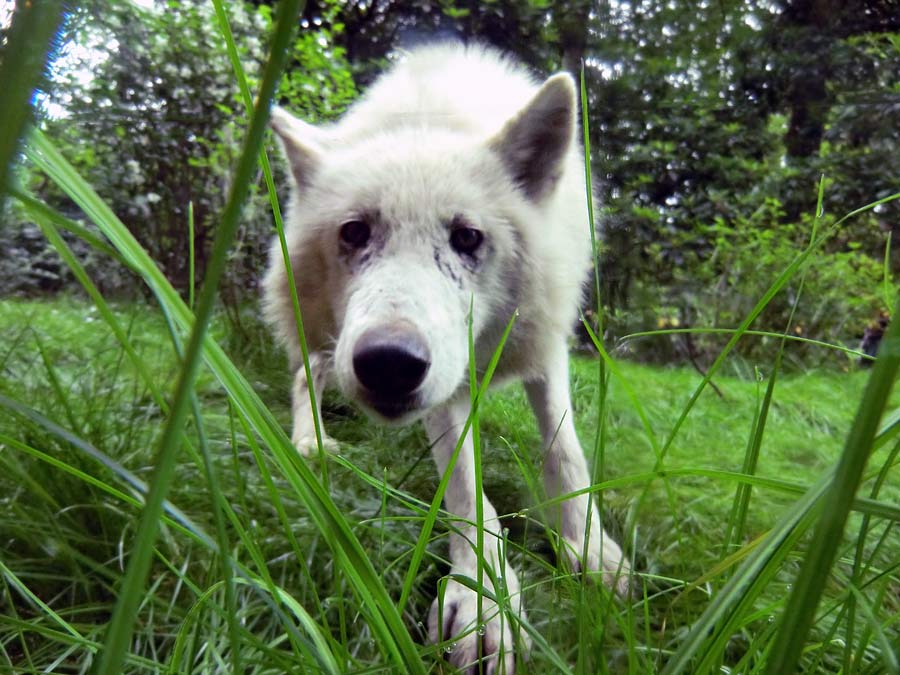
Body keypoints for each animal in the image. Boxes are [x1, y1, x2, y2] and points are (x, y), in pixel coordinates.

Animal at [262, 43, 624, 675]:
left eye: (467, 237)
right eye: (354, 232)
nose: (388, 362)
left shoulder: (544, 344)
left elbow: (565, 451)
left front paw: (588, 547)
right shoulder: (447, 392)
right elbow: (467, 488)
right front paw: (485, 605)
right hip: (320, 332)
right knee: (306, 376)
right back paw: (311, 443)